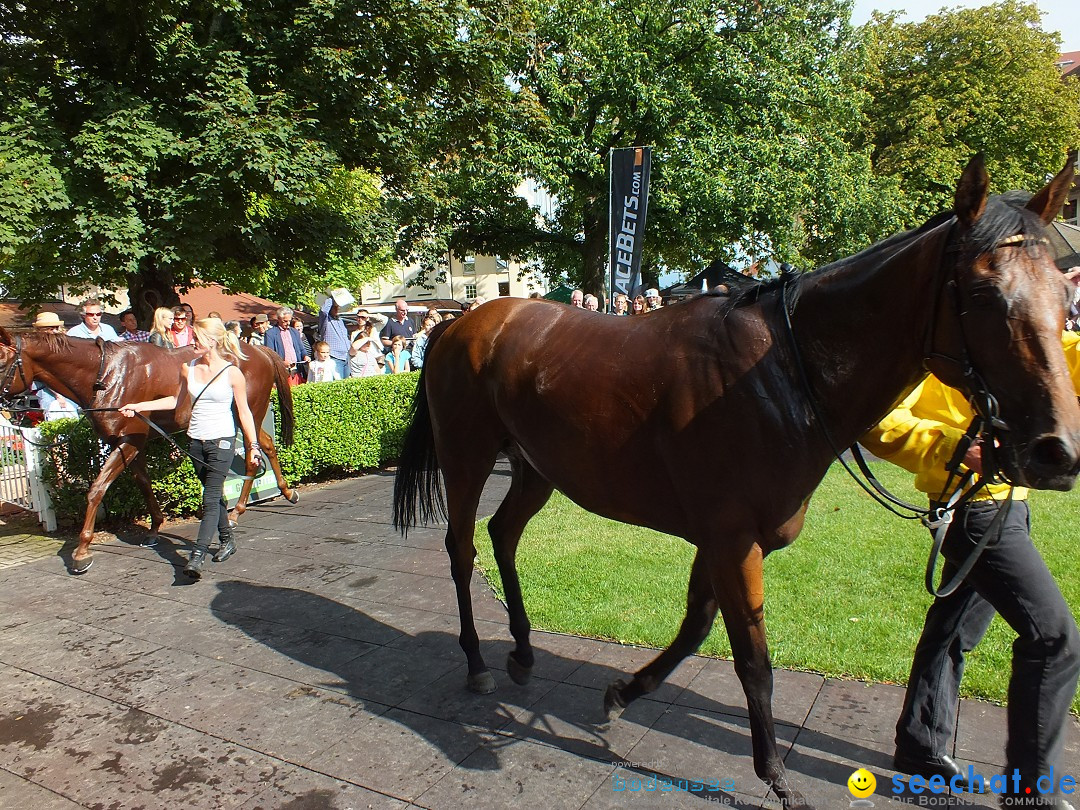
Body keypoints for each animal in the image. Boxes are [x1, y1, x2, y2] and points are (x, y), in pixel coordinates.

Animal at [0, 332, 298, 574]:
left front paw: (82, 552)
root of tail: (259, 351)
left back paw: (238, 511)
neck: (105, 375)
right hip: (242, 416)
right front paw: (155, 527)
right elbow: (143, 482)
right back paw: (285, 491)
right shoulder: (129, 441)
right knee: (266, 445)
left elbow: (97, 489)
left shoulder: (129, 439)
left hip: (250, 412)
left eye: (2, 362)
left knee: (252, 455)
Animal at [395, 155, 1080, 807]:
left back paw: (522, 650)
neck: (785, 371)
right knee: (462, 548)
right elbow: (753, 661)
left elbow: (696, 626)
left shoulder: (723, 538)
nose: (1056, 451)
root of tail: (459, 323)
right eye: (982, 291)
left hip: (537, 467)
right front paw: (776, 776)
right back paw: (478, 660)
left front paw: (622, 692)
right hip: (467, 457)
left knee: (503, 534)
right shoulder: (732, 539)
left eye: (1061, 293)